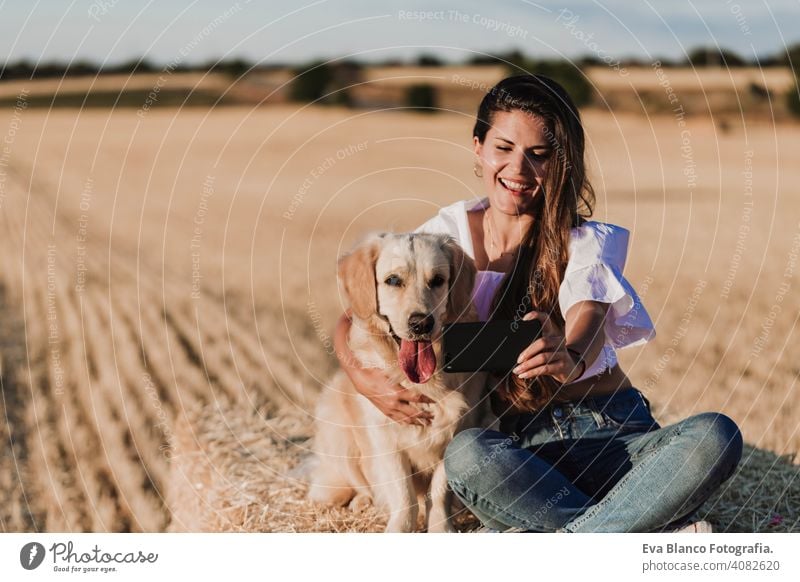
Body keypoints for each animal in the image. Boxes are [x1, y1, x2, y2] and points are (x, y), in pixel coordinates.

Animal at [308, 232, 490, 532]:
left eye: (438, 280)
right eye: (393, 280)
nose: (421, 324)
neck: (421, 383)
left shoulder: (456, 431)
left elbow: (439, 492)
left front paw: (440, 528)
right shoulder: (386, 439)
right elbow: (405, 496)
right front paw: (400, 528)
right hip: (338, 430)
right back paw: (361, 502)